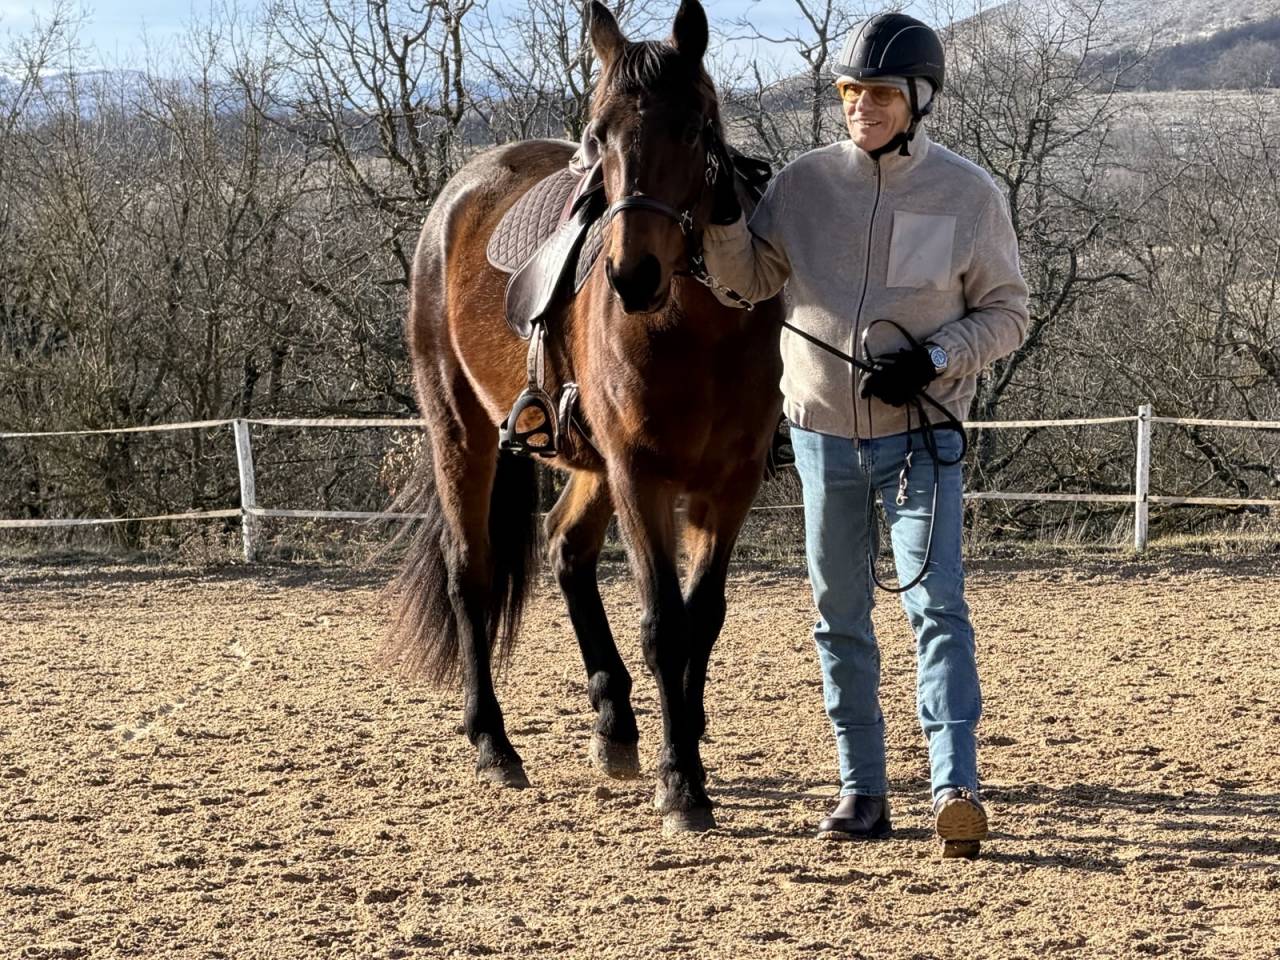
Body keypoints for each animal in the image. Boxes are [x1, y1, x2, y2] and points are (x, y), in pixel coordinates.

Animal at [385, 0, 784, 832]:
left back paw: (615, 723)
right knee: (470, 573)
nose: (633, 274)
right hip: (462, 433)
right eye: (600, 133)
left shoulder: (728, 486)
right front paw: (681, 783)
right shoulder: (641, 476)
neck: (699, 328)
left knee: (565, 548)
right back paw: (493, 744)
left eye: (693, 127)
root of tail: (458, 196)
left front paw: (683, 746)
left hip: (588, 459)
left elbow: (703, 618)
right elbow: (664, 625)